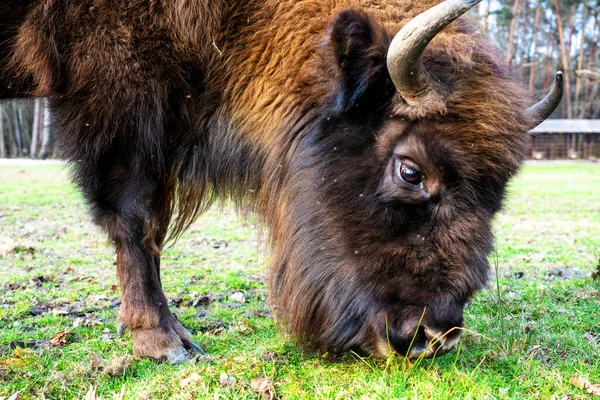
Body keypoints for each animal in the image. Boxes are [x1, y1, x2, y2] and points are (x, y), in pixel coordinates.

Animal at [1, 0, 564, 362]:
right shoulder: (116, 94)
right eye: (410, 170)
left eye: (500, 193)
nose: (435, 336)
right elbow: (135, 220)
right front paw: (164, 343)